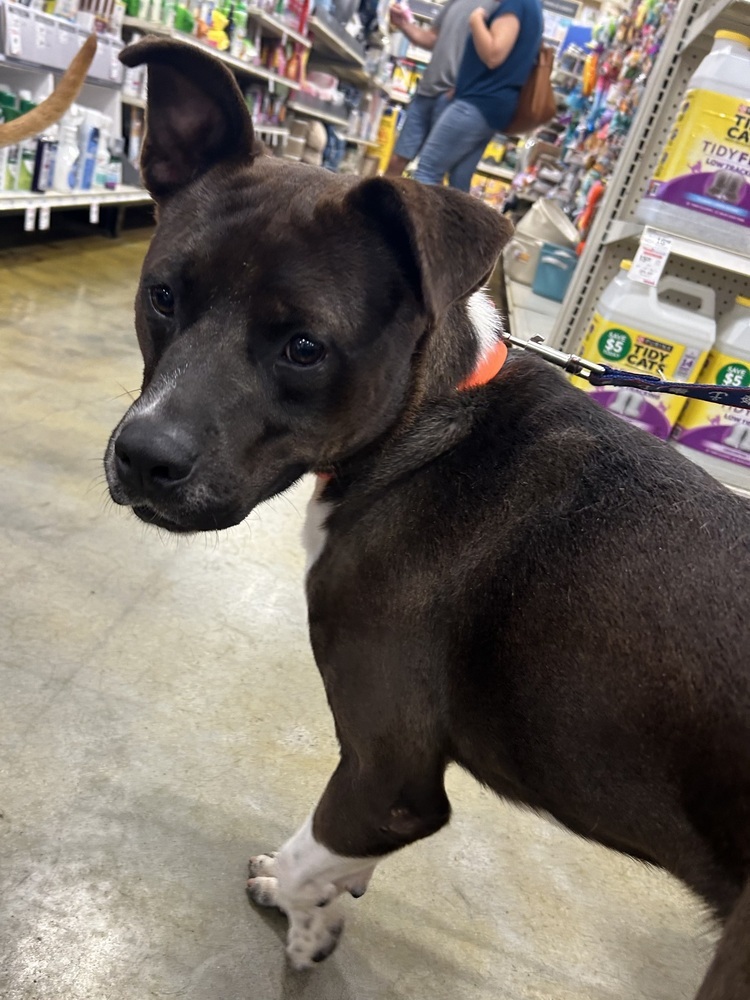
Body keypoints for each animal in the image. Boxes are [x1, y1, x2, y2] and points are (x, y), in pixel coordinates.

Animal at [104, 35, 750, 996]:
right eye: (163, 297)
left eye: (305, 348)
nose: (143, 456)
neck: (429, 422)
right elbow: (337, 856)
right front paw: (331, 895)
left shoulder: (391, 772)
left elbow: (315, 849)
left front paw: (300, 919)